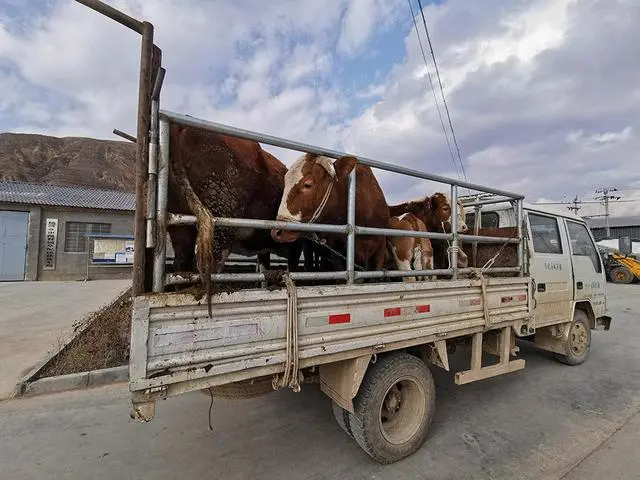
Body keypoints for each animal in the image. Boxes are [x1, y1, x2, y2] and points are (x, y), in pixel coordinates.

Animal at [168, 122, 308, 314]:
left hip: (180, 226)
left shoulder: (263, 249)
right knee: (206, 268)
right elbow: (293, 270)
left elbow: (264, 273)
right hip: (219, 222)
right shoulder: (296, 244)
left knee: (181, 266)